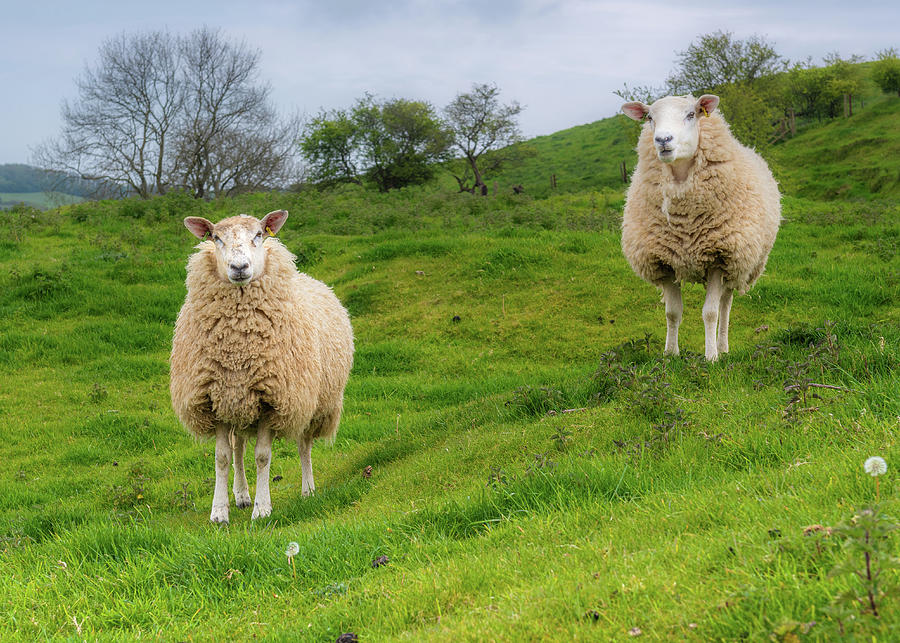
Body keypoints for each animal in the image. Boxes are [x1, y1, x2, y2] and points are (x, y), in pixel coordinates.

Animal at [171, 211, 354, 524]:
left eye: (259, 234)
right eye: (215, 238)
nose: (239, 267)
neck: (238, 345)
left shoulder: (273, 399)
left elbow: (262, 456)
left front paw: (262, 508)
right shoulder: (216, 399)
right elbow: (223, 457)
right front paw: (219, 511)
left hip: (310, 401)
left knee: (303, 445)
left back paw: (308, 490)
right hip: (240, 405)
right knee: (238, 447)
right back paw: (242, 495)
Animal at [620, 94, 780, 362]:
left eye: (691, 114)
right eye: (650, 117)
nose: (663, 140)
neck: (685, 220)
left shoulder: (719, 257)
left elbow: (710, 313)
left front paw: (711, 356)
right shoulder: (664, 260)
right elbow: (672, 312)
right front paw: (670, 354)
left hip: (736, 263)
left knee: (725, 304)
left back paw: (722, 346)